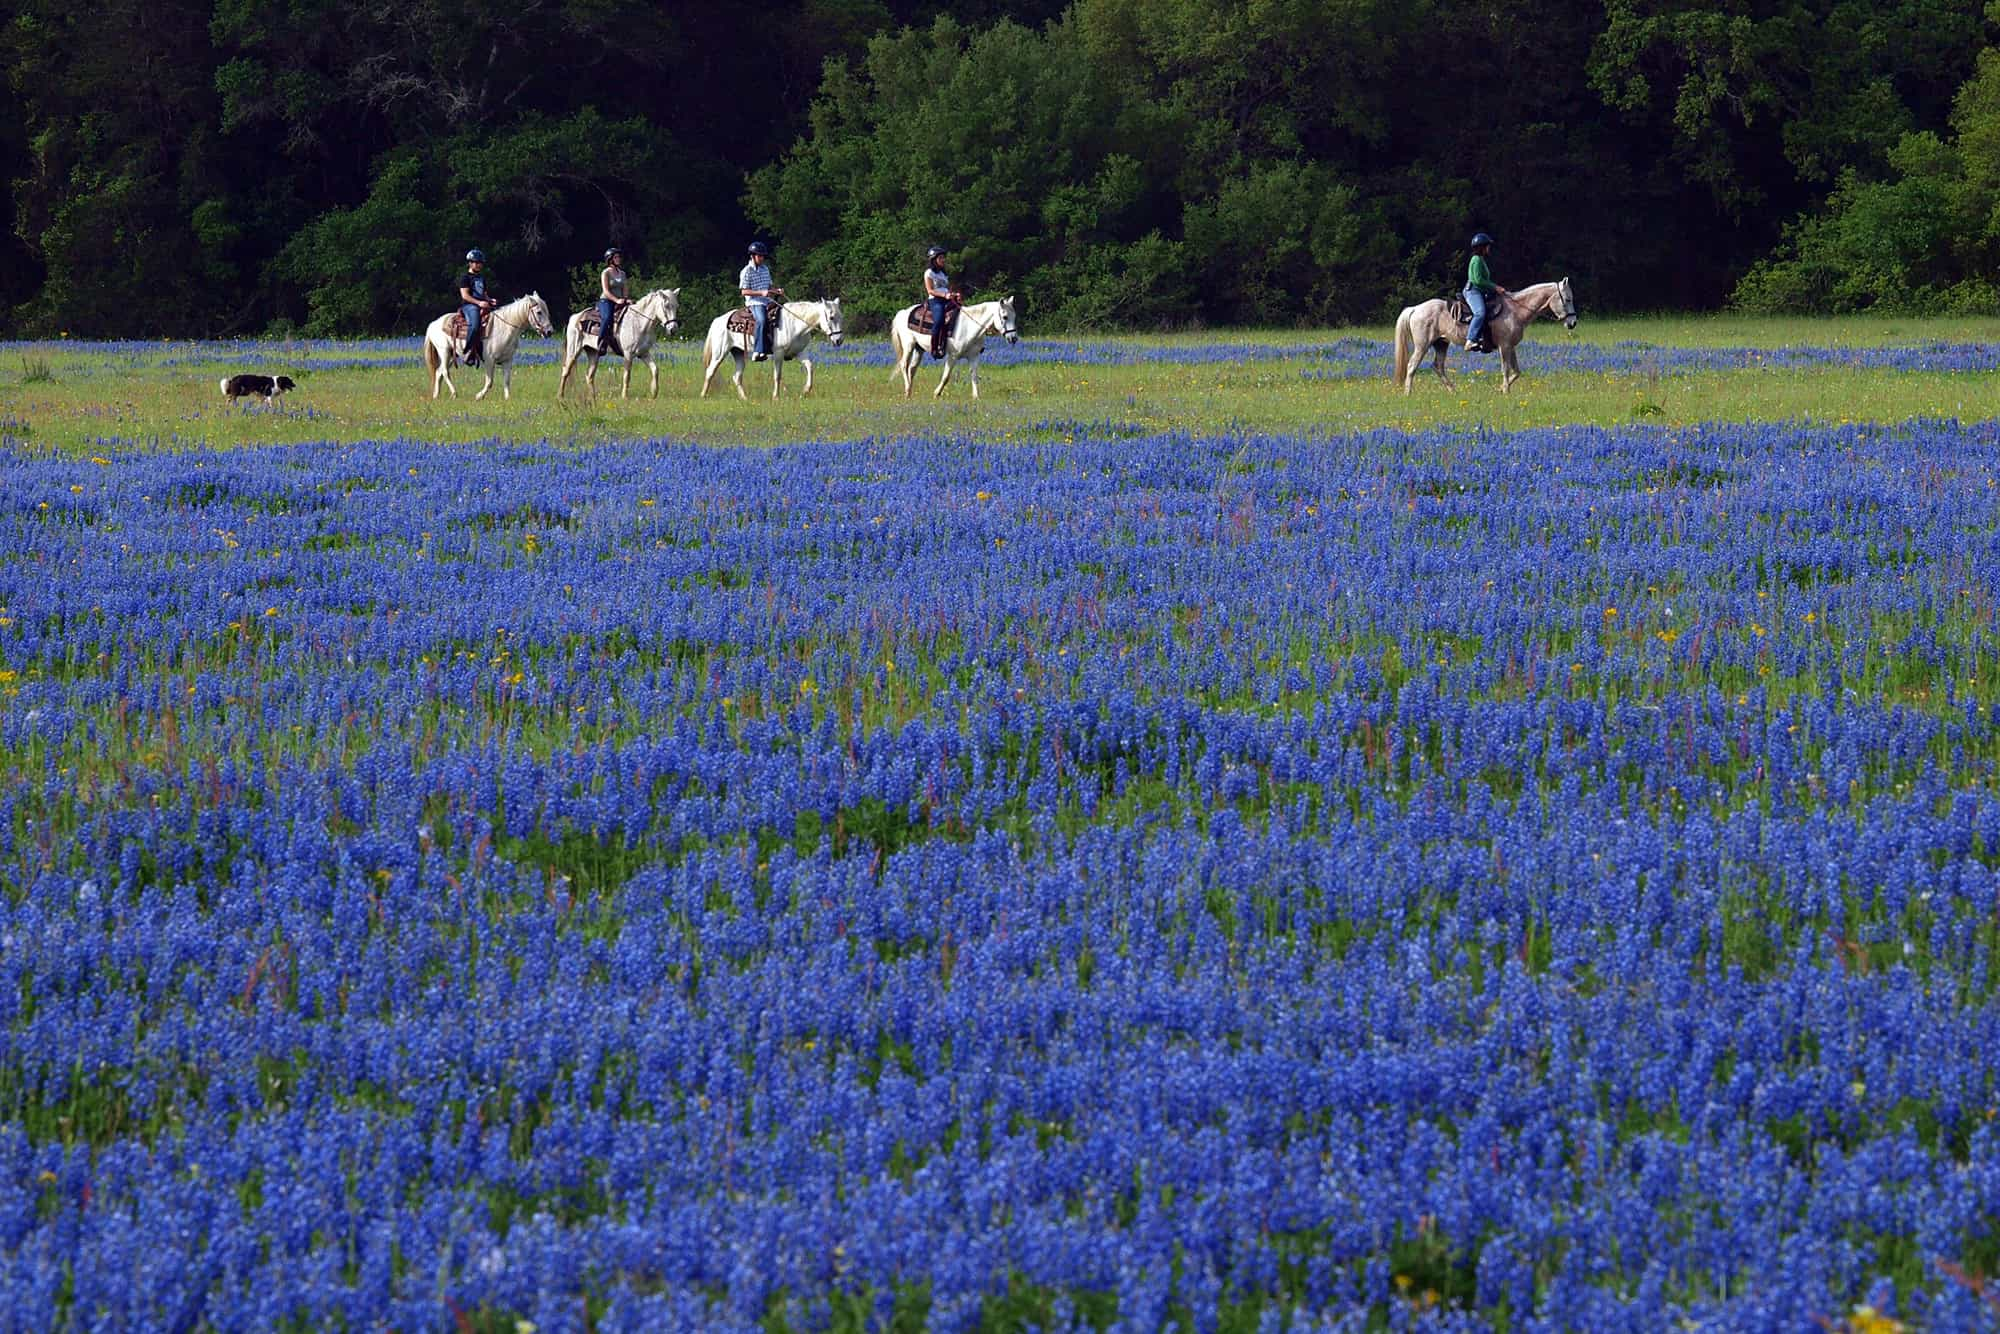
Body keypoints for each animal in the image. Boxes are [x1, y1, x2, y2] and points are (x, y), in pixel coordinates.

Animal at [418, 298, 552, 408]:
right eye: (539, 312)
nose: (549, 331)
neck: (504, 328)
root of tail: (433, 324)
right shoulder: (489, 360)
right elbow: (489, 382)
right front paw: (479, 396)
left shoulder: (507, 360)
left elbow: (507, 380)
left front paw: (508, 399)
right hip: (444, 351)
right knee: (445, 372)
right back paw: (454, 393)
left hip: (452, 355)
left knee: (438, 372)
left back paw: (436, 395)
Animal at [700, 302, 840, 402]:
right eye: (831, 317)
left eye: (841, 317)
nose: (839, 340)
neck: (794, 324)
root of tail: (718, 320)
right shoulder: (778, 353)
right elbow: (777, 375)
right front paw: (776, 397)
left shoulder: (799, 352)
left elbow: (810, 367)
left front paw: (805, 391)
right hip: (719, 353)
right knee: (710, 371)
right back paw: (703, 395)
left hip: (738, 353)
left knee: (737, 377)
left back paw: (745, 398)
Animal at [888, 302, 1016, 402]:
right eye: (1005, 317)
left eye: (1014, 317)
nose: (1013, 338)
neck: (969, 327)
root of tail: (904, 312)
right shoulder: (952, 356)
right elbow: (946, 376)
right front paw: (937, 393)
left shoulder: (974, 356)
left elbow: (974, 375)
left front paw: (976, 397)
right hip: (908, 345)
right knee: (904, 365)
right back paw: (907, 390)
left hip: (919, 349)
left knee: (912, 369)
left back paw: (909, 392)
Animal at [1392, 276, 1576, 392]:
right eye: (1567, 299)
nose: (1573, 323)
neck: (1515, 311)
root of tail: (1415, 308)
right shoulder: (1504, 346)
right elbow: (1506, 370)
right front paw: (1506, 391)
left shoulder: (1511, 347)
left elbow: (1516, 372)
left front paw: (1501, 389)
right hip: (1422, 345)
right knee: (1412, 366)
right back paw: (1408, 393)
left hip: (1441, 343)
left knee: (1438, 367)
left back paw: (1453, 391)